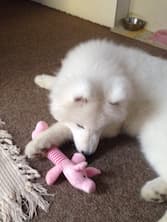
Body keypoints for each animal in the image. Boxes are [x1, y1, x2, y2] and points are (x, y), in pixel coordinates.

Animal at [25, 39, 167, 220]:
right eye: (80, 125)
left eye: (101, 128)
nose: (87, 154)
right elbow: (58, 83)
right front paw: (43, 79)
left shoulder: (114, 127)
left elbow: (62, 126)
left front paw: (39, 142)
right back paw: (155, 192)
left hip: (154, 137)